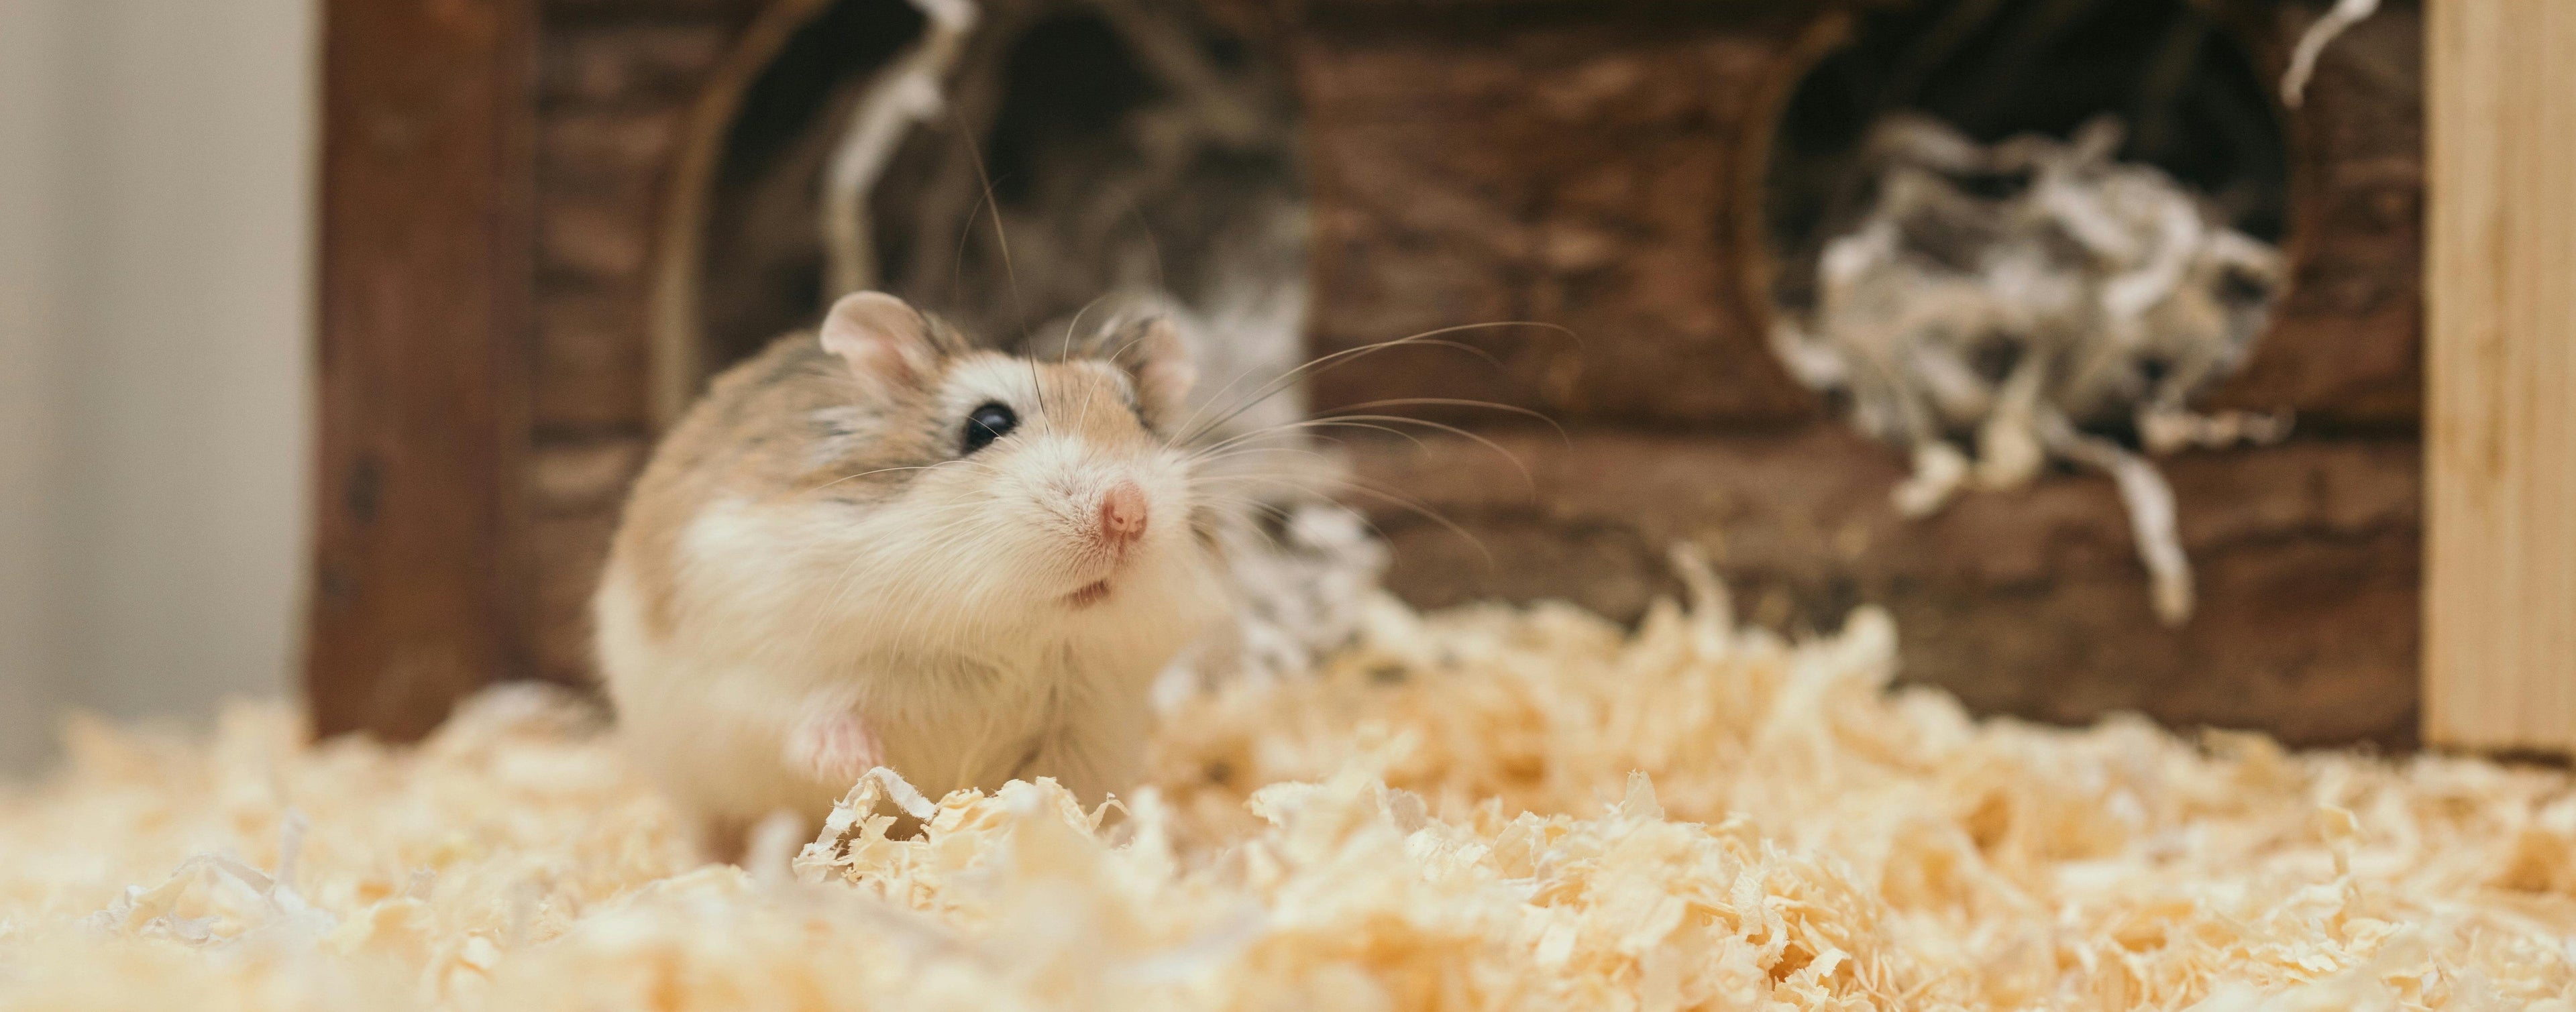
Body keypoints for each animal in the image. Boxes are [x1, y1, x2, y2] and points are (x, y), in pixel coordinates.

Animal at [594, 291, 1228, 848]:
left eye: (1140, 419)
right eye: (987, 424)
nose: (1129, 512)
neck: (1010, 636)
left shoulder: (1084, 727)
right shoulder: (758, 666)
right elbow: (807, 717)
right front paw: (863, 764)